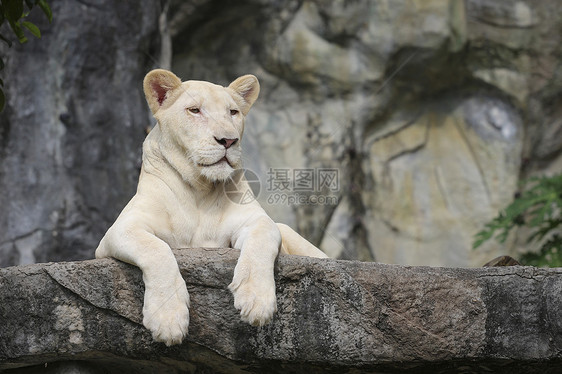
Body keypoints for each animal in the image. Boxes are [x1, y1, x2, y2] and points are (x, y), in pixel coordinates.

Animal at [94, 69, 326, 344]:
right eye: (195, 110)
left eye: (233, 112)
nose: (228, 140)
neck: (200, 190)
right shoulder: (119, 230)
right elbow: (156, 249)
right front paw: (168, 319)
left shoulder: (256, 220)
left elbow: (262, 240)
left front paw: (256, 301)